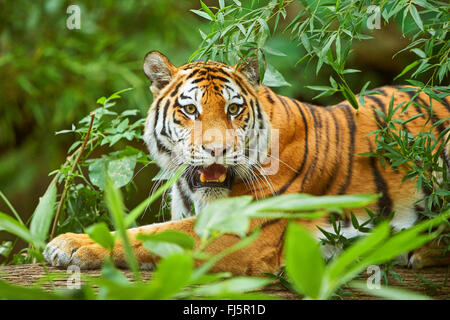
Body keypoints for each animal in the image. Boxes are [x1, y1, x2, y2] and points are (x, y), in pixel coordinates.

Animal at [44, 51, 450, 274]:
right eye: (190, 110)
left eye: (233, 109)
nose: (218, 150)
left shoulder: (239, 229)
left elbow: (152, 234)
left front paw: (71, 245)